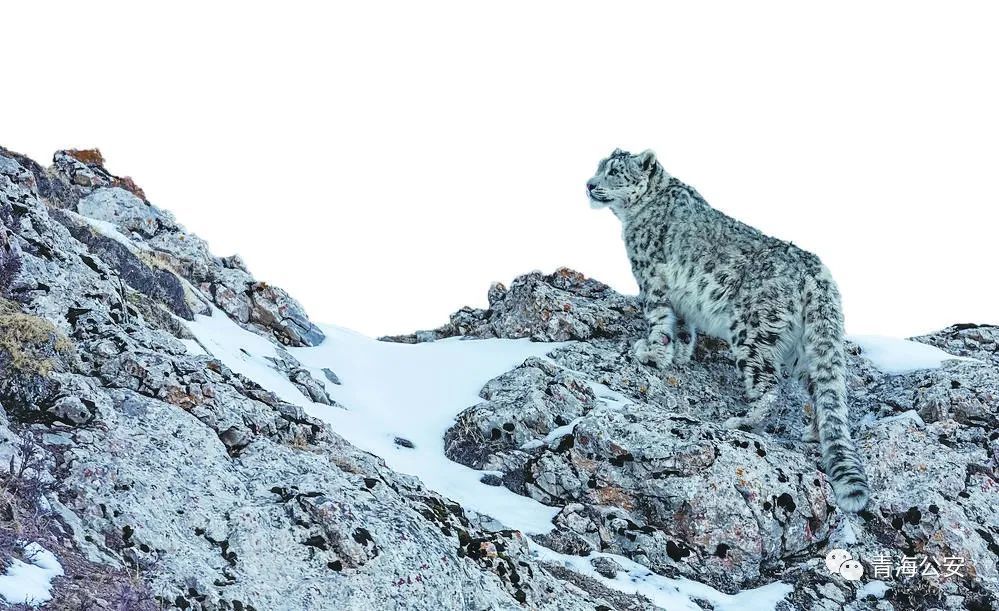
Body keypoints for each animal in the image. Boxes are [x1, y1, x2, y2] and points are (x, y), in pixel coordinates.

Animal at [584, 148, 868, 512]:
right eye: (599, 167)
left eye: (615, 172)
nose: (589, 185)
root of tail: (816, 273)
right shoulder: (682, 301)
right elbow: (683, 326)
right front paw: (679, 354)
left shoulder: (651, 276)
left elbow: (659, 318)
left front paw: (651, 353)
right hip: (805, 348)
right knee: (820, 388)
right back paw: (813, 432)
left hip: (752, 331)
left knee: (769, 386)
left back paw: (743, 422)